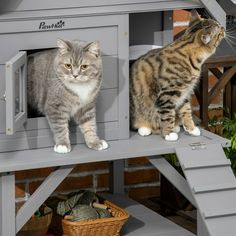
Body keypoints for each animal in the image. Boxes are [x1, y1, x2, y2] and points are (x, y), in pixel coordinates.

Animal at [131, 9, 225, 140]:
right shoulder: (167, 94)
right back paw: (146, 128)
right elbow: (167, 115)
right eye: (220, 32)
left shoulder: (184, 93)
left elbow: (186, 111)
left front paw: (191, 129)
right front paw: (169, 134)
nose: (223, 28)